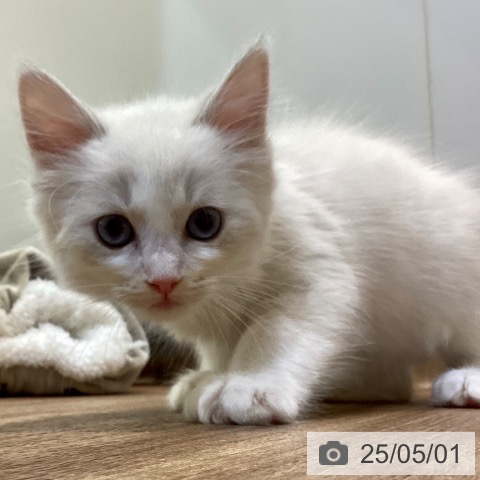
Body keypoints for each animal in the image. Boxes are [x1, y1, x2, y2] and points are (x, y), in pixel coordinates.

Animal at [18, 44, 480, 425]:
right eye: (113, 230)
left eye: (205, 224)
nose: (164, 280)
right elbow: (223, 348)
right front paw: (209, 377)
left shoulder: (318, 272)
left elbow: (271, 331)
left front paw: (250, 385)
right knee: (393, 383)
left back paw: (464, 381)